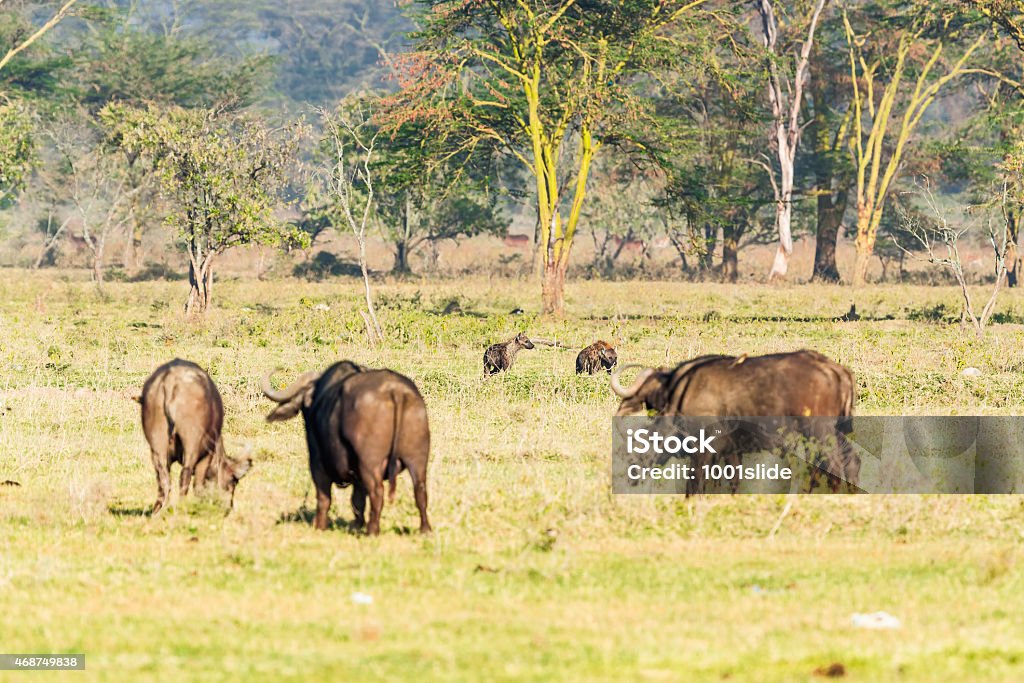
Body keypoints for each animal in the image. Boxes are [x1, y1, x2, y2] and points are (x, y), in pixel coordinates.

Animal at [136, 360, 251, 516]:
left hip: (157, 443)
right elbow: (198, 485)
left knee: (163, 477)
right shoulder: (207, 455)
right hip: (192, 443)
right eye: (232, 481)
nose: (229, 508)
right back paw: (182, 507)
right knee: (185, 474)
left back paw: (158, 510)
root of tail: (171, 379)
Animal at [262, 360, 430, 536]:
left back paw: (372, 530)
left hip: (369, 463)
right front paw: (355, 526)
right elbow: (357, 500)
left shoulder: (317, 463)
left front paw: (320, 525)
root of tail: (395, 391)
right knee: (420, 491)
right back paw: (425, 529)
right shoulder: (357, 476)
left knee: (377, 492)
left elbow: (324, 498)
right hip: (418, 459)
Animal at [610, 352, 860, 491]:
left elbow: (695, 483)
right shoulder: (732, 452)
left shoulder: (704, 450)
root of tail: (835, 369)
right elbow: (731, 482)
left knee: (832, 466)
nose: (629, 479)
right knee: (850, 462)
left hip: (819, 433)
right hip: (836, 433)